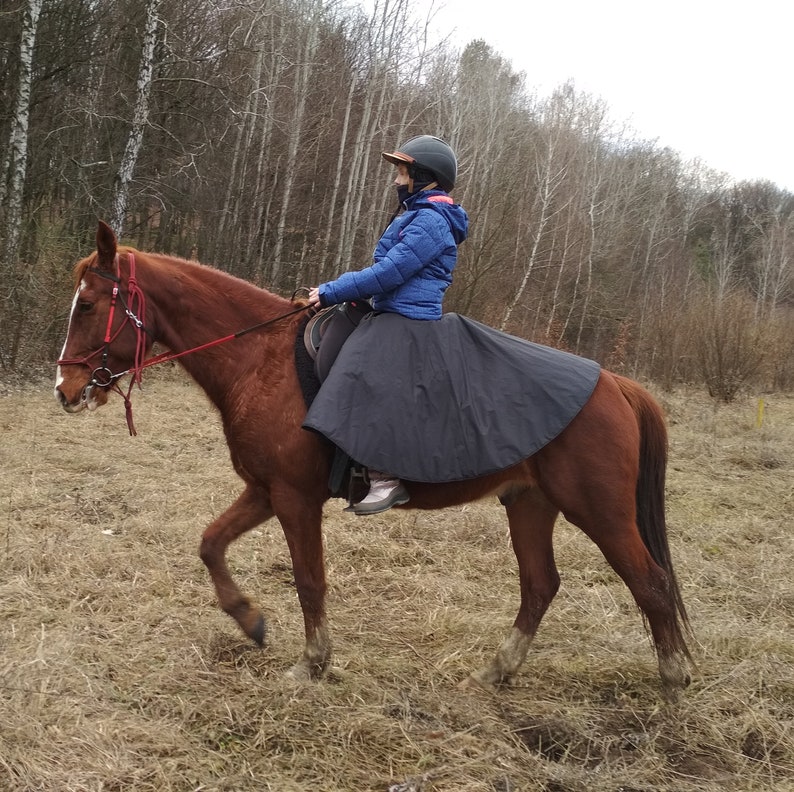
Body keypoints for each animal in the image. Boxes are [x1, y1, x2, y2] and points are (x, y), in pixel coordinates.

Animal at [55, 221, 693, 695]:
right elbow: (210, 544)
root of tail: (613, 384)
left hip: (600, 512)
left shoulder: (294, 498)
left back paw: (672, 680)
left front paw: (312, 663)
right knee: (541, 586)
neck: (262, 360)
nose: (65, 389)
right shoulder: (265, 490)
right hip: (530, 504)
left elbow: (310, 579)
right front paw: (251, 621)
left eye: (87, 305)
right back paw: (498, 671)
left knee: (651, 583)